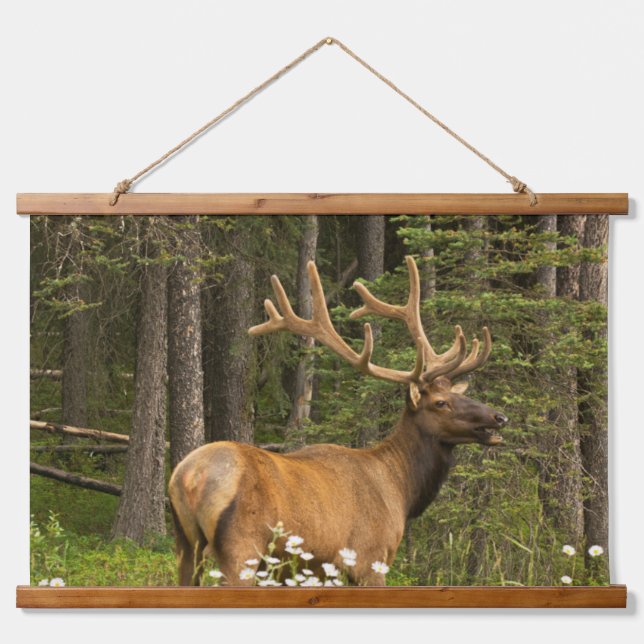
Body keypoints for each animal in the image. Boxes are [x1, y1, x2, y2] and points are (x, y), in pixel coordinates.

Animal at [168, 256, 507, 586]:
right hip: (242, 548)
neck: (401, 489)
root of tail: (189, 478)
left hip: (186, 547)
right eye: (440, 403)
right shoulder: (369, 559)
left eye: (456, 394)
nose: (499, 417)